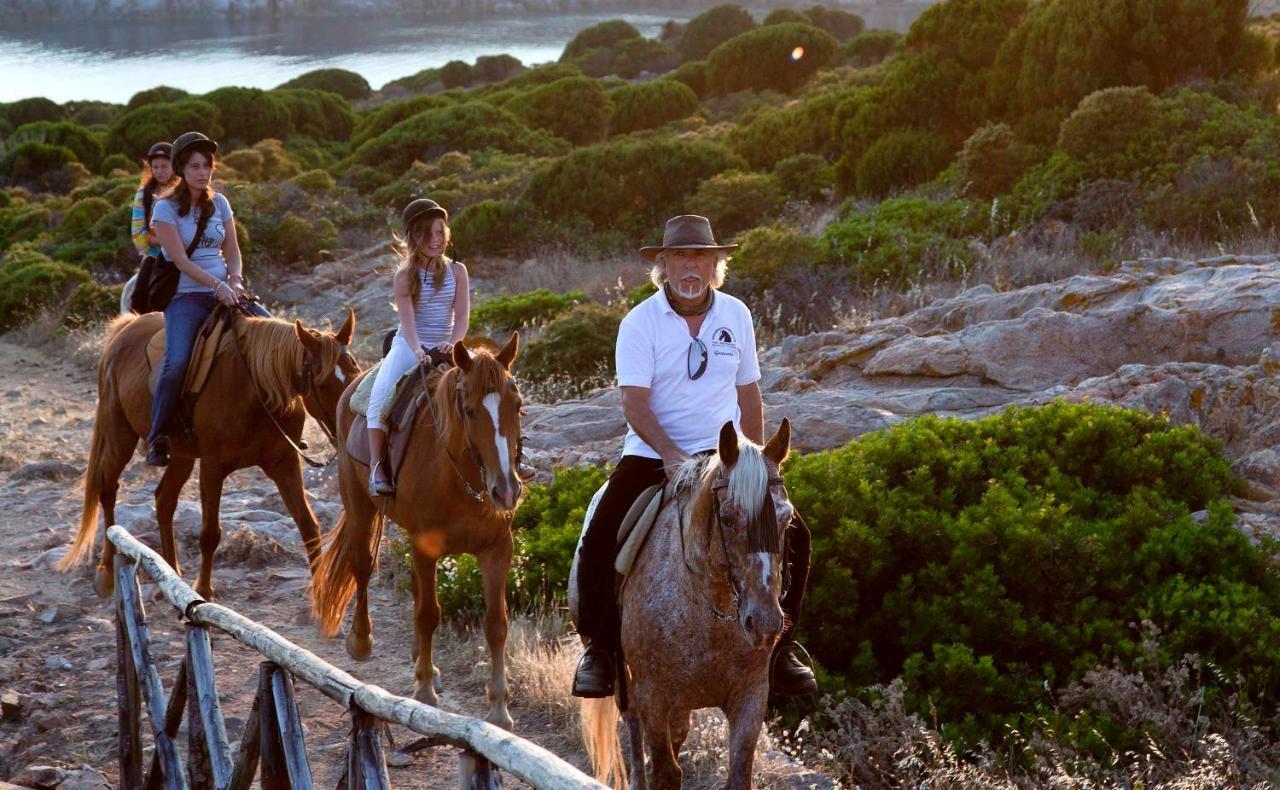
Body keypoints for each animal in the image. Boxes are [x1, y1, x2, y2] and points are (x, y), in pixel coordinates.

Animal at [59, 308, 358, 596]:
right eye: (323, 383)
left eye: (354, 374)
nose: (347, 427)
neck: (255, 389)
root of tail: (127, 326)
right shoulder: (213, 468)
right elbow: (210, 534)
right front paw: (203, 590)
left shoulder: (284, 464)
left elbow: (308, 525)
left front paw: (319, 595)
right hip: (119, 436)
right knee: (108, 490)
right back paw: (107, 572)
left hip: (181, 455)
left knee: (164, 500)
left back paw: (172, 573)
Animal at [309, 332, 524, 727]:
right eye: (469, 410)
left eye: (516, 406)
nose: (506, 490)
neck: (461, 480)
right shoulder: (426, 547)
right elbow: (429, 613)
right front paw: (423, 689)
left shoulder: (498, 549)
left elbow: (496, 623)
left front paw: (499, 707)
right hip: (360, 508)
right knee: (363, 566)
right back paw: (361, 641)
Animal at [578, 419, 793, 788]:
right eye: (728, 518)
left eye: (787, 519)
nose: (765, 625)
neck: (709, 612)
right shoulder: (653, 696)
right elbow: (665, 771)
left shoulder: (751, 697)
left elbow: (738, 774)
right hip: (626, 680)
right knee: (633, 726)